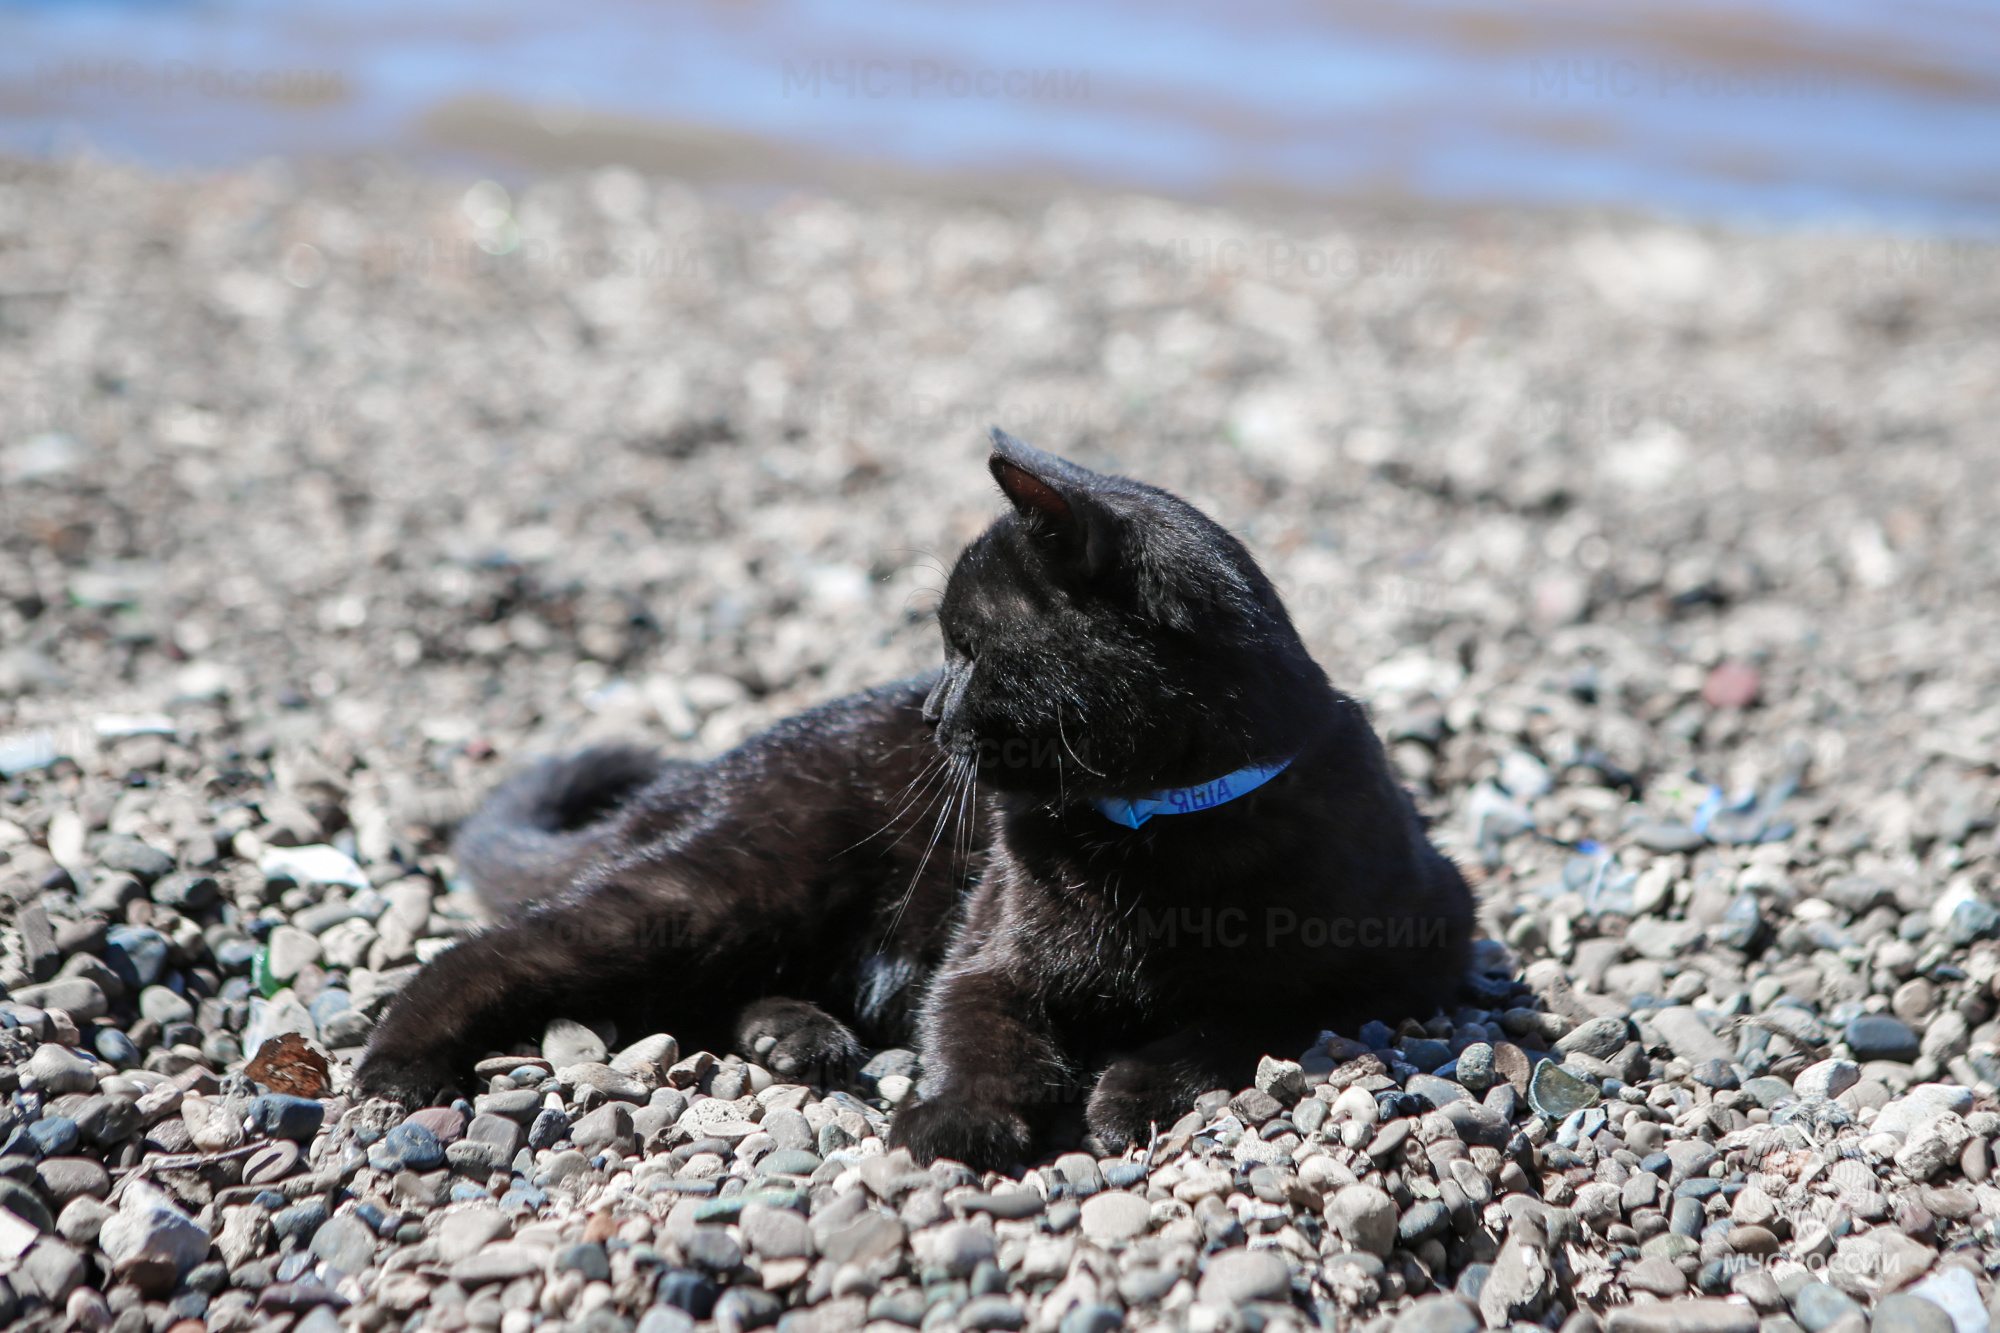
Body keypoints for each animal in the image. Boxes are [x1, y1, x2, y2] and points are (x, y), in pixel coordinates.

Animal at [360, 428, 1480, 1160]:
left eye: (968, 649)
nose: (933, 709)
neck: (1157, 829)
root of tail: (706, 769)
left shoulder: (1415, 953)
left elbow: (1243, 1018)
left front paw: (1130, 1089)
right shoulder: (981, 954)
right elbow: (979, 1030)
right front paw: (960, 1120)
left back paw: (795, 1034)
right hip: (734, 881)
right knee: (499, 949)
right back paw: (396, 1064)